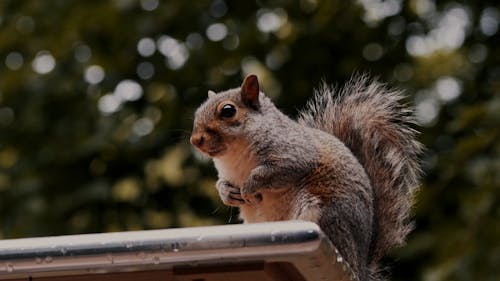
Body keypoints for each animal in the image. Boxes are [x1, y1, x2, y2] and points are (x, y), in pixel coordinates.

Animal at [190, 73, 422, 278]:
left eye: (228, 111)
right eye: (197, 111)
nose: (195, 140)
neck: (233, 156)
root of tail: (359, 265)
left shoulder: (294, 155)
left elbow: (275, 172)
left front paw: (249, 187)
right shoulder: (227, 173)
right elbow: (222, 184)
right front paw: (228, 193)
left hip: (326, 216)